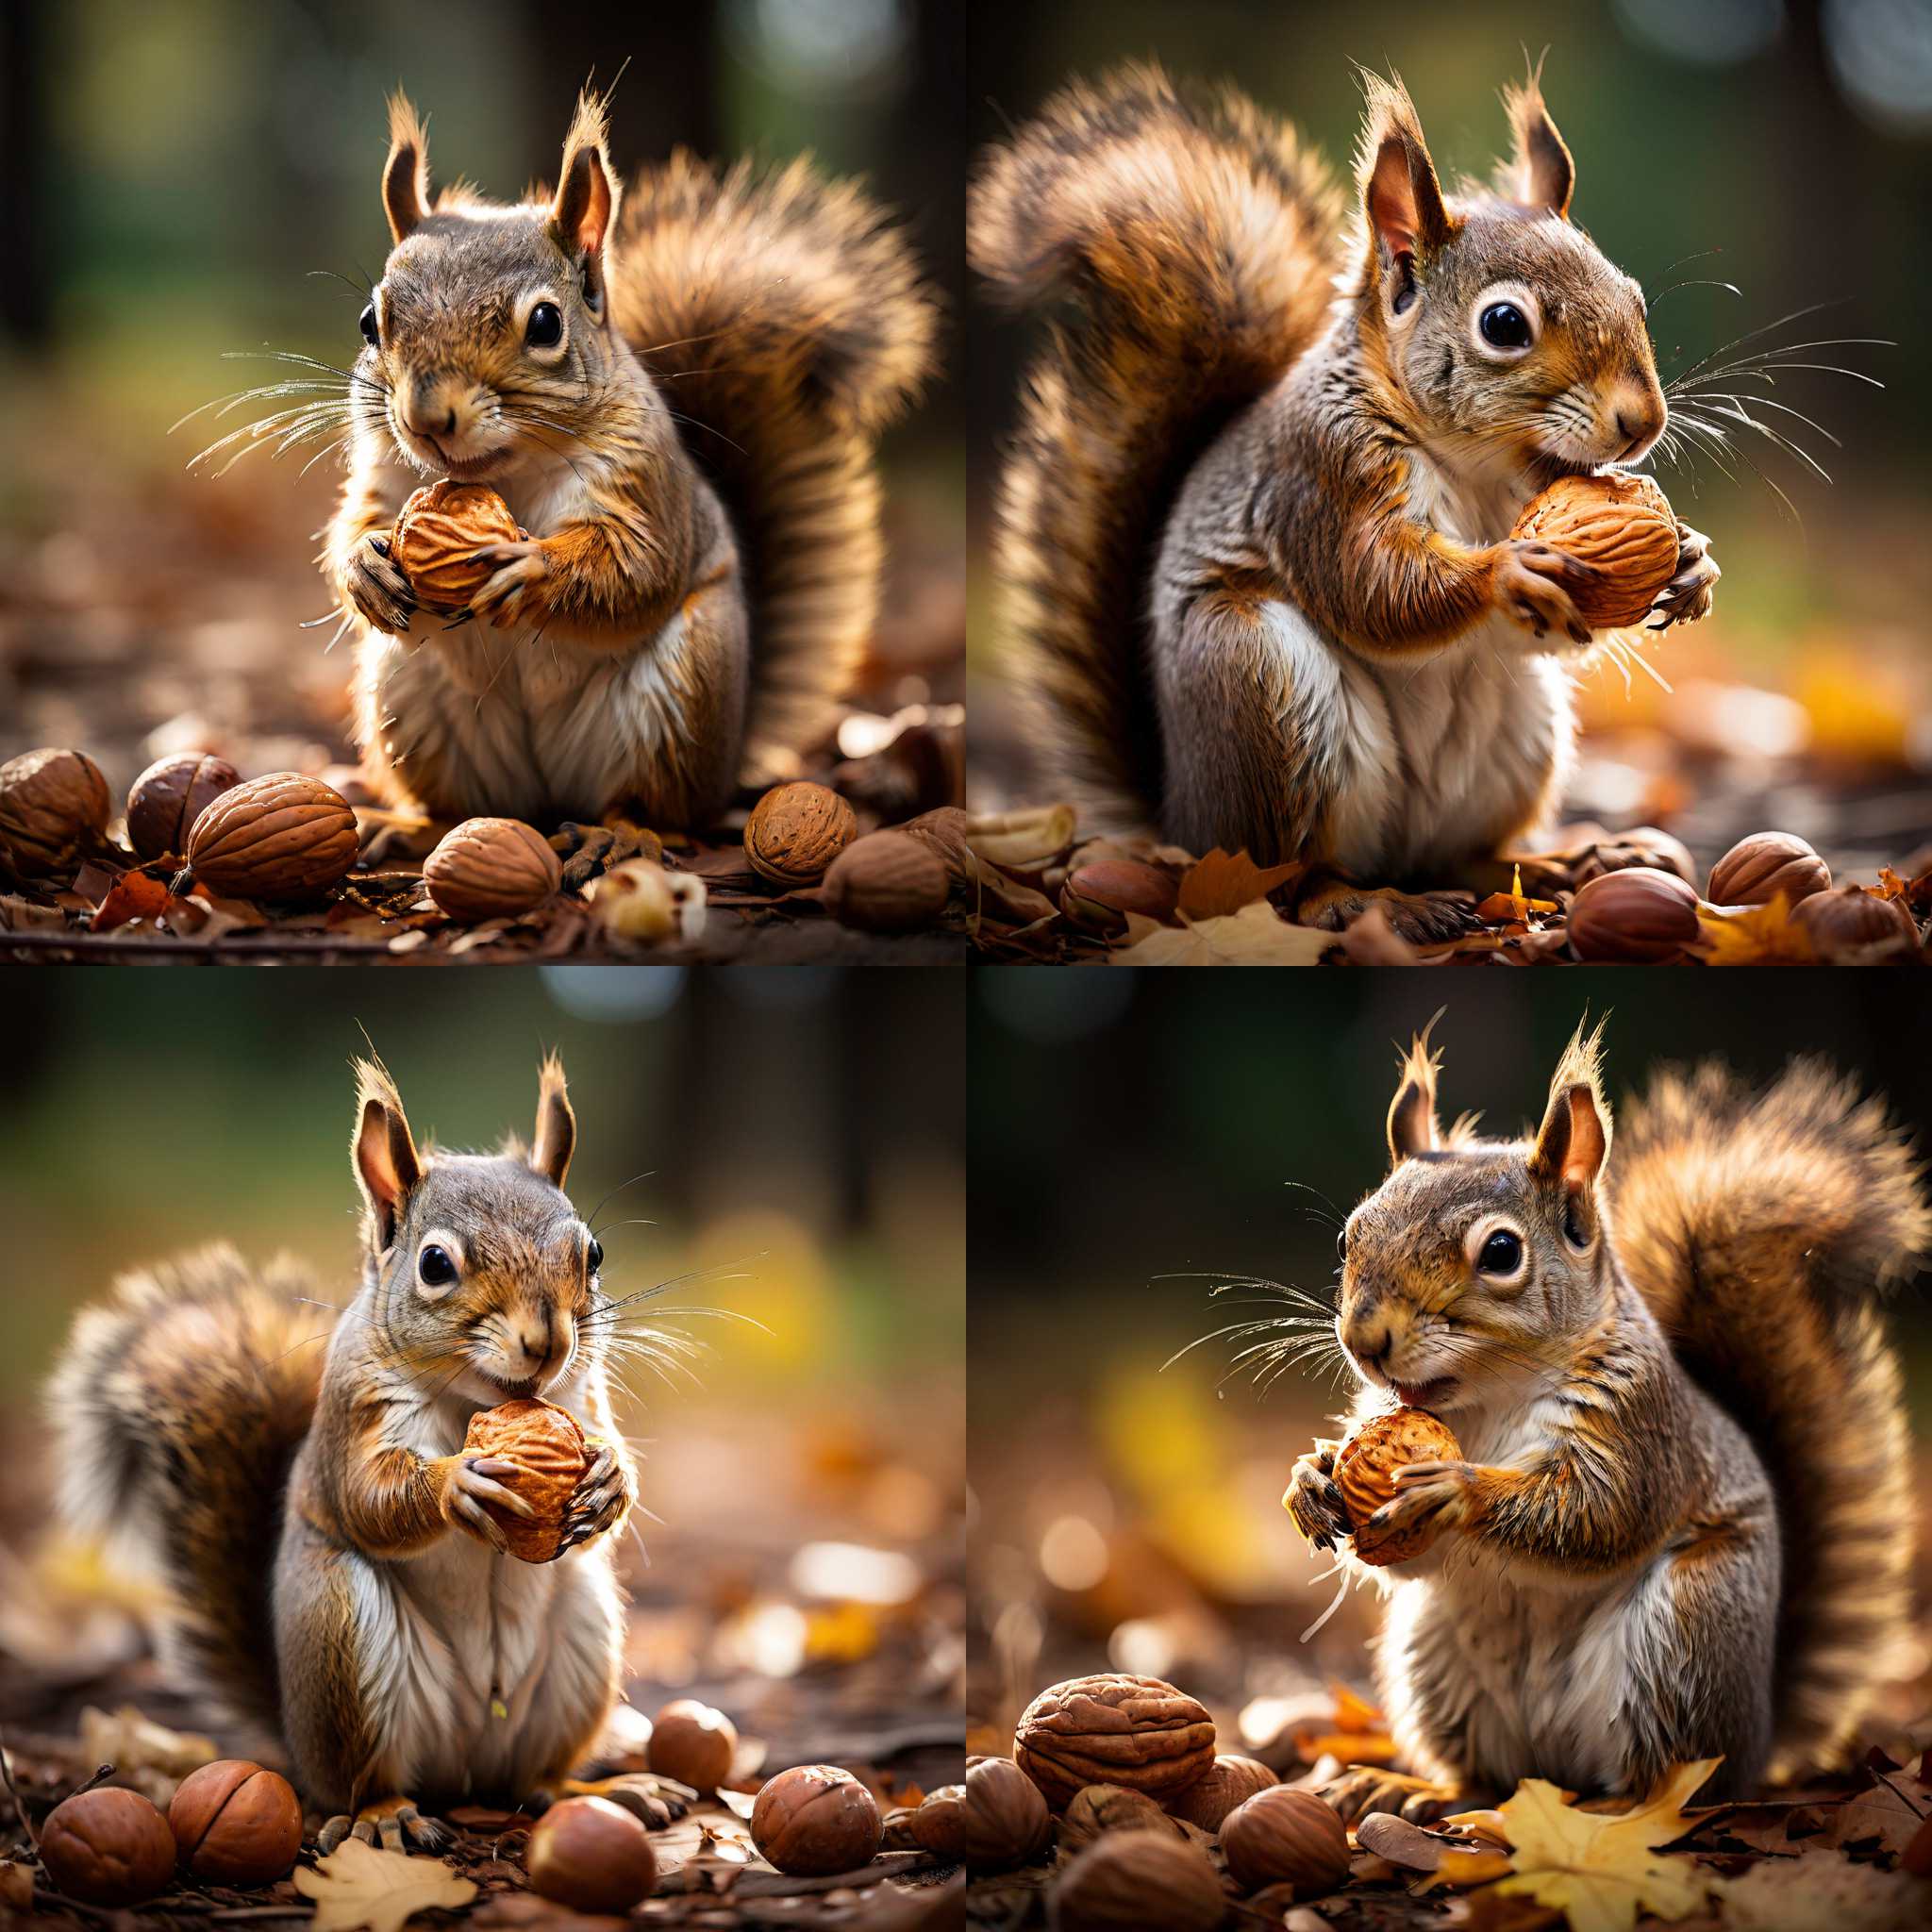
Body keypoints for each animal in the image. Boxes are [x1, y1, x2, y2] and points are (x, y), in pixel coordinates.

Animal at [43, 1066, 649, 1846]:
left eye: (593, 1254)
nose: (546, 1340)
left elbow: (610, 1448)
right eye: (434, 1264)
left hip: (583, 1637)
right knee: (362, 1781)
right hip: (341, 1638)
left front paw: (608, 1479)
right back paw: (387, 1817)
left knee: (530, 1781)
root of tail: (463, 1768)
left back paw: (592, 1787)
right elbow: (366, 1499)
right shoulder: (349, 1417)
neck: (474, 1399)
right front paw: (455, 1485)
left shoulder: (581, 1395)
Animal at [330, 92, 935, 838]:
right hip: (407, 697)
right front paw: (364, 566)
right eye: (368, 323)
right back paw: (415, 826)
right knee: (462, 806)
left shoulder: (645, 483)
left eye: (545, 325)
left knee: (650, 806)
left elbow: (637, 567)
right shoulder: (386, 472)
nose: (426, 418)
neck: (501, 471)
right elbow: (354, 526)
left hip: (684, 692)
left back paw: (618, 840)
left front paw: (533, 567)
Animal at [981, 60, 1723, 935]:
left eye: (1634, 297)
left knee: (1460, 856)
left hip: (1521, 735)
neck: (1474, 464)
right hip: (1259, 686)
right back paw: (1370, 904)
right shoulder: (1319, 475)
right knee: (1289, 880)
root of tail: (1185, 821)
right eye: (1505, 324)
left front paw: (1691, 562)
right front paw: (1506, 570)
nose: (1643, 422)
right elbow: (1370, 585)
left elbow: (1560, 627)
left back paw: (1556, 863)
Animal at [1274, 1020, 1924, 1816]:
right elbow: (1403, 1556)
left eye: (1501, 1251)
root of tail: (1761, 1732)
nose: (1365, 1339)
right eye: (1349, 1237)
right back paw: (1414, 1790)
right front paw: (1311, 1480)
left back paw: (1620, 1814)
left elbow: (1600, 1514)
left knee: (1673, 1779)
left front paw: (1458, 1490)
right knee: (1489, 1777)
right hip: (1433, 1657)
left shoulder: (1639, 1426)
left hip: (1687, 1633)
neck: (1484, 1398)